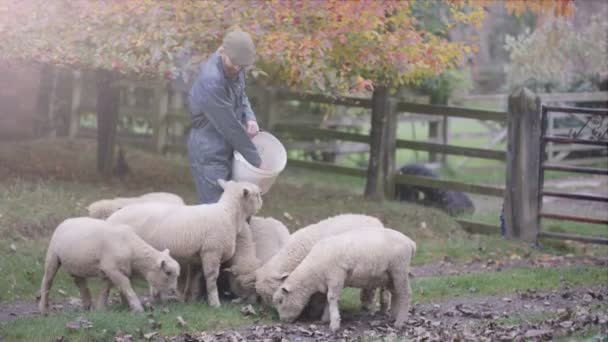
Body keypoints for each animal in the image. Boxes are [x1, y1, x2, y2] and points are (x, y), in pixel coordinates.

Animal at [38, 218, 179, 314]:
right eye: (168, 272)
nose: (173, 291)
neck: (130, 246)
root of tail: (65, 221)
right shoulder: (112, 269)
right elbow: (126, 285)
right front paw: (137, 308)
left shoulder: (110, 271)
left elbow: (107, 290)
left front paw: (103, 309)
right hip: (53, 256)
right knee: (47, 280)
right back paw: (43, 308)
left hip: (76, 264)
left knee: (80, 283)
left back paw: (87, 306)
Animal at [106, 179, 262, 308]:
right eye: (258, 195)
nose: (262, 202)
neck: (228, 214)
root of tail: (110, 218)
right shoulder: (211, 251)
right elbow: (211, 278)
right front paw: (215, 303)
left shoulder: (196, 257)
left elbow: (193, 279)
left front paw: (190, 300)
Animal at [272, 227, 418, 332]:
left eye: (281, 301)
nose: (282, 321)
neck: (313, 273)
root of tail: (410, 242)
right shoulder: (329, 281)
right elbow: (328, 299)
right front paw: (325, 319)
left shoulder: (336, 276)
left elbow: (331, 298)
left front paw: (334, 324)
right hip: (390, 275)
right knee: (396, 293)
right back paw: (394, 315)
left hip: (400, 269)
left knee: (406, 294)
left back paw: (399, 322)